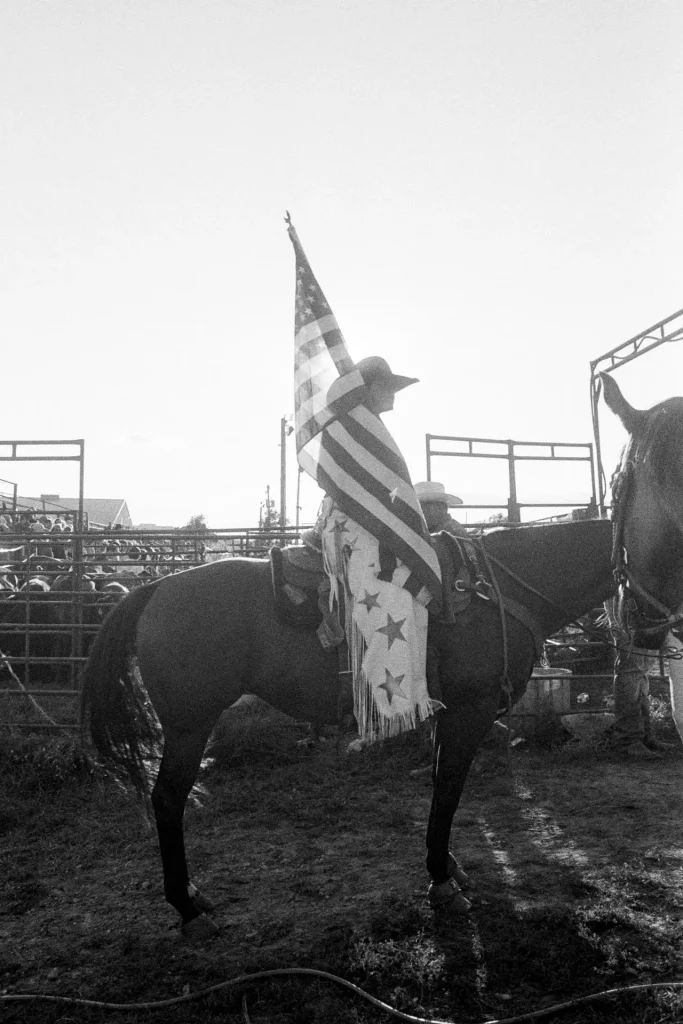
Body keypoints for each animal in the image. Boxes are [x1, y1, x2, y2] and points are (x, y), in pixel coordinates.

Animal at [77, 376, 683, 937]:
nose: (647, 628)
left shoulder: (445, 711)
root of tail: (155, 588)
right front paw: (442, 883)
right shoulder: (470, 710)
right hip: (188, 723)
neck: (507, 586)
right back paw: (188, 907)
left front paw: (449, 869)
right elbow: (449, 789)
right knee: (166, 799)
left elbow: (441, 784)